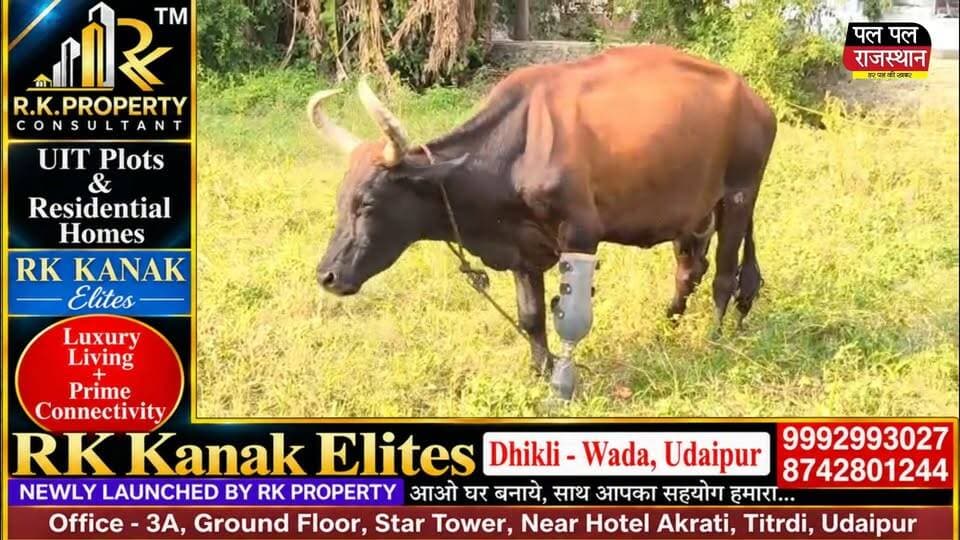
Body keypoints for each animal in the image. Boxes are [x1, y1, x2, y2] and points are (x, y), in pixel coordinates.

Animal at [308, 45, 777, 399]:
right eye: (341, 199)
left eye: (368, 202)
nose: (326, 275)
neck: (517, 147)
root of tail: (755, 101)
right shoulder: (522, 250)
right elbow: (531, 316)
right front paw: (539, 369)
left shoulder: (581, 235)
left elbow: (570, 316)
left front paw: (561, 381)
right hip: (695, 212)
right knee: (689, 269)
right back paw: (669, 323)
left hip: (739, 196)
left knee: (724, 275)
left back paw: (715, 338)